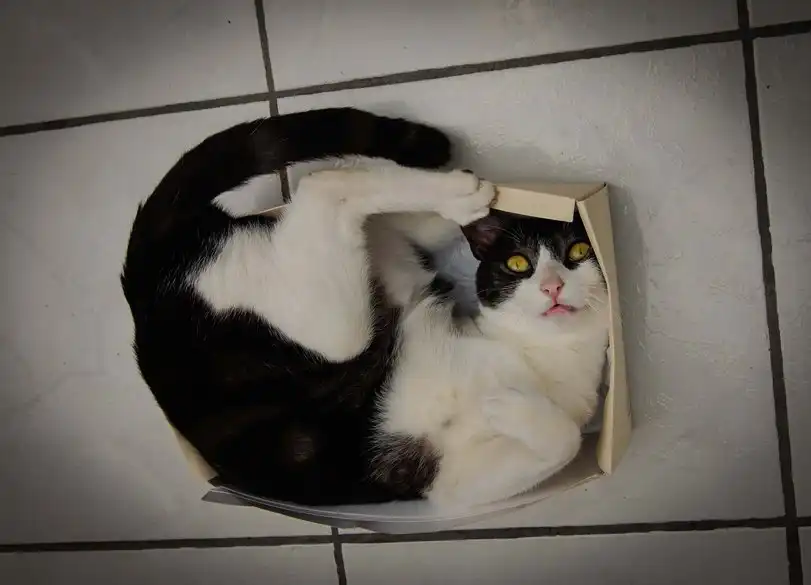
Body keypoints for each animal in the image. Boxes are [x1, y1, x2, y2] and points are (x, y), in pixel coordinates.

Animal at [121, 107, 609, 509]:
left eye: (579, 252)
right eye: (518, 264)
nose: (552, 286)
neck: (542, 358)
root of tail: (140, 280)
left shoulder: (453, 484)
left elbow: (566, 440)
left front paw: (507, 405)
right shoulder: (438, 480)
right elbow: (566, 440)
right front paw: (505, 400)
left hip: (382, 284)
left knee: (353, 200)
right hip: (337, 326)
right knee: (323, 186)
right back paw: (460, 190)